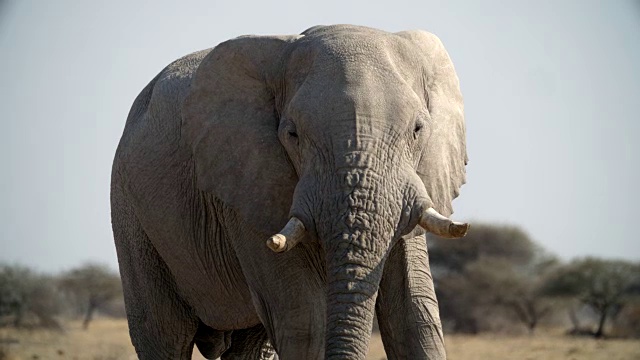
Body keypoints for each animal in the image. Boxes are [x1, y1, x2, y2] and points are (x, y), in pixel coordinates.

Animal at [110, 23, 468, 358]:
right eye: (292, 134)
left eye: (418, 130)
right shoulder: (247, 184)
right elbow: (307, 319)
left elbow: (414, 317)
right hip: (131, 215)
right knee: (164, 335)